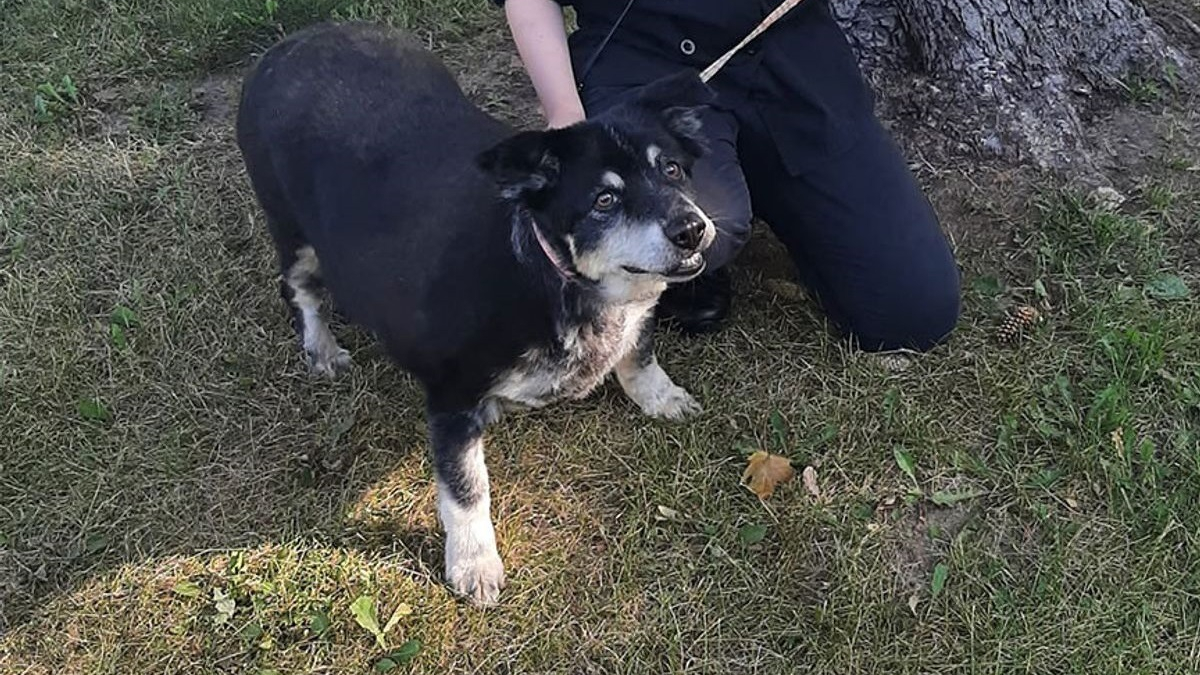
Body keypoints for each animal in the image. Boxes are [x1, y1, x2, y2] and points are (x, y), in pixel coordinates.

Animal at [238, 22, 715, 605]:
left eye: (671, 168)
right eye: (604, 200)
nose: (691, 228)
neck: (549, 272)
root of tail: (288, 45)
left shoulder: (637, 315)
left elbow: (639, 355)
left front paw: (662, 398)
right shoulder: (449, 394)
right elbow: (466, 489)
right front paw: (474, 565)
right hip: (291, 230)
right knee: (299, 289)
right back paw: (321, 349)